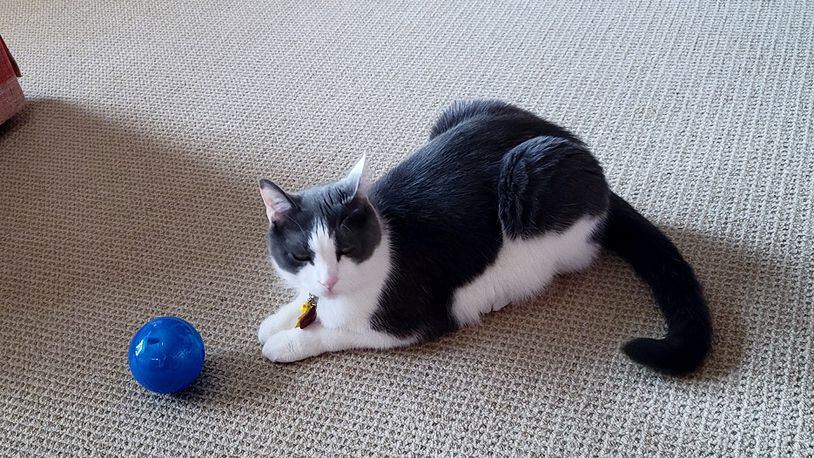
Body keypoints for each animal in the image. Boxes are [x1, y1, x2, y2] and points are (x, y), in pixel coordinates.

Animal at [258, 99, 712, 372]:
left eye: (346, 249)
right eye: (301, 256)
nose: (329, 281)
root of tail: (573, 144)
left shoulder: (411, 320)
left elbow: (335, 333)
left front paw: (286, 342)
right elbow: (302, 305)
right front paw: (279, 319)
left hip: (529, 179)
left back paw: (500, 292)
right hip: (459, 108)